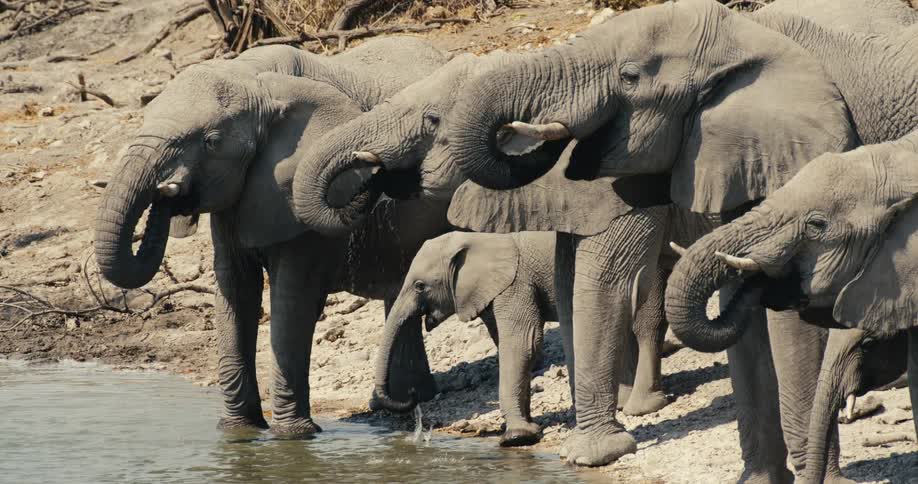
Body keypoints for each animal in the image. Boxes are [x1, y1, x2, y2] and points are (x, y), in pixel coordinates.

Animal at [93, 38, 453, 433]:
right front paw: (238, 431)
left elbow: (290, 299)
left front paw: (293, 435)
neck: (251, 77)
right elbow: (235, 291)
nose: (168, 192)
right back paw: (405, 402)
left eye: (211, 142)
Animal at [374, 230, 670, 446]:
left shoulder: (515, 283)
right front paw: (522, 427)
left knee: (644, 323)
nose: (412, 396)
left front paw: (516, 437)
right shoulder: (488, 292)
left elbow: (522, 343)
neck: (473, 239)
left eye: (420, 286)